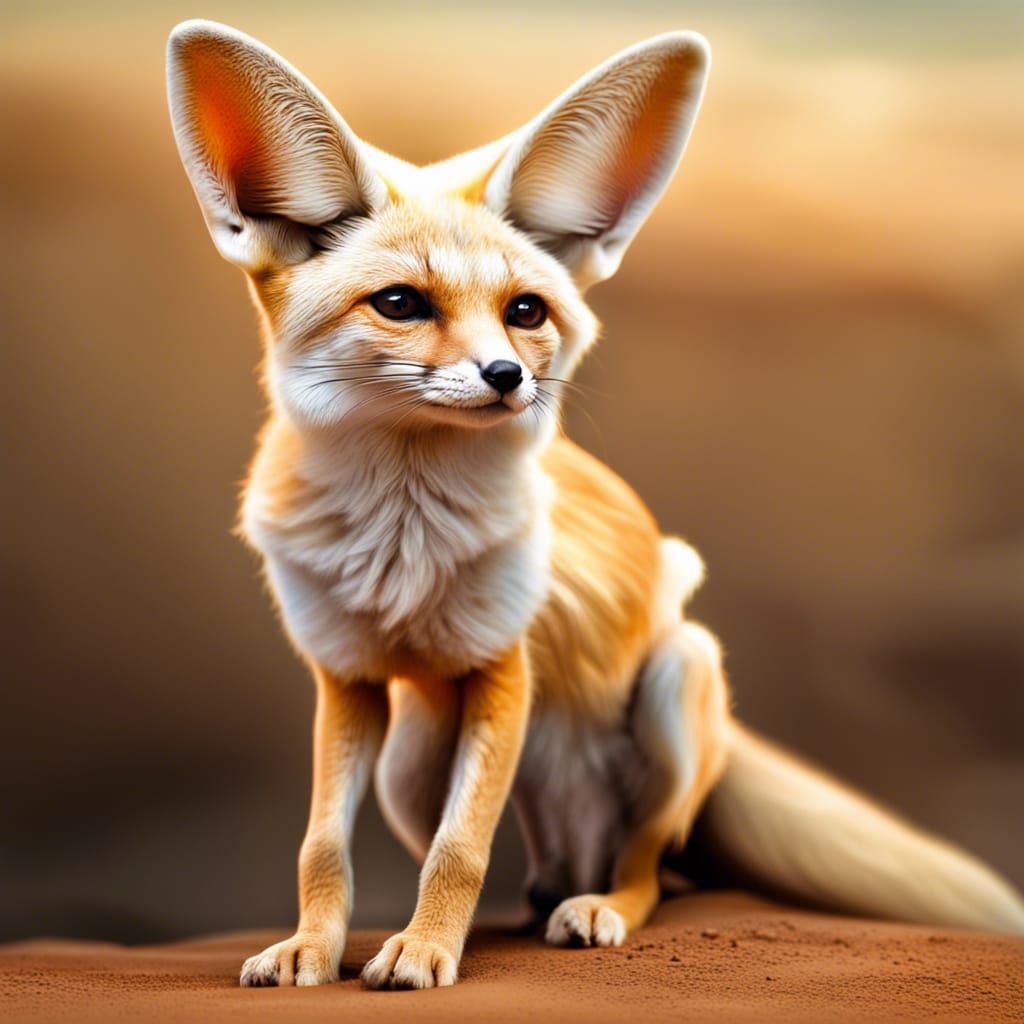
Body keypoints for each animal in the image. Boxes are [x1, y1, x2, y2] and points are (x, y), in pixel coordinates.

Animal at [165, 19, 1024, 991]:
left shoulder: (502, 668)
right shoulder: (346, 678)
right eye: (400, 303)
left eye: (525, 312)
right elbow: (324, 847)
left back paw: (596, 907)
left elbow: (459, 850)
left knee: (650, 868)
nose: (507, 376)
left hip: (677, 680)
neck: (403, 540)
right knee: (529, 866)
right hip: (410, 759)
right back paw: (528, 907)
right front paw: (315, 948)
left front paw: (424, 952)